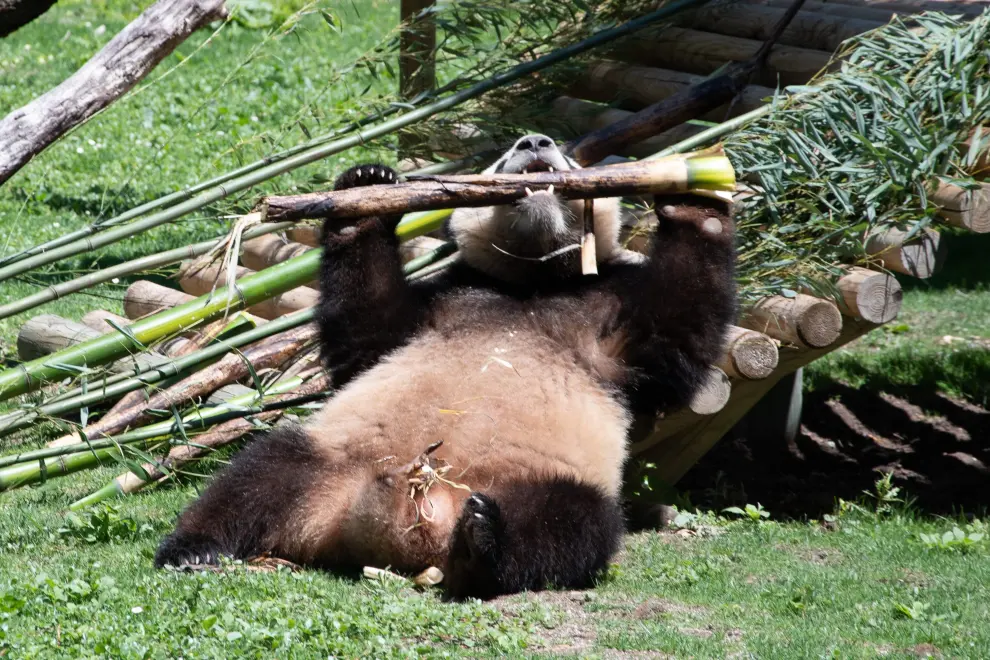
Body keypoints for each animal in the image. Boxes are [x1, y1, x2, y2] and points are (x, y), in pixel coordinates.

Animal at [155, 134, 736, 600]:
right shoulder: (442, 299)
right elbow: (365, 334)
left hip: (545, 479)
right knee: (263, 472)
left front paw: (697, 192)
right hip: (334, 457)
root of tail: (399, 529)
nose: (534, 142)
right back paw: (194, 548)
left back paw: (483, 543)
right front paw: (365, 192)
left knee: (572, 523)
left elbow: (677, 337)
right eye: (501, 158)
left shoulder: (614, 320)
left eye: (570, 159)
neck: (533, 281)